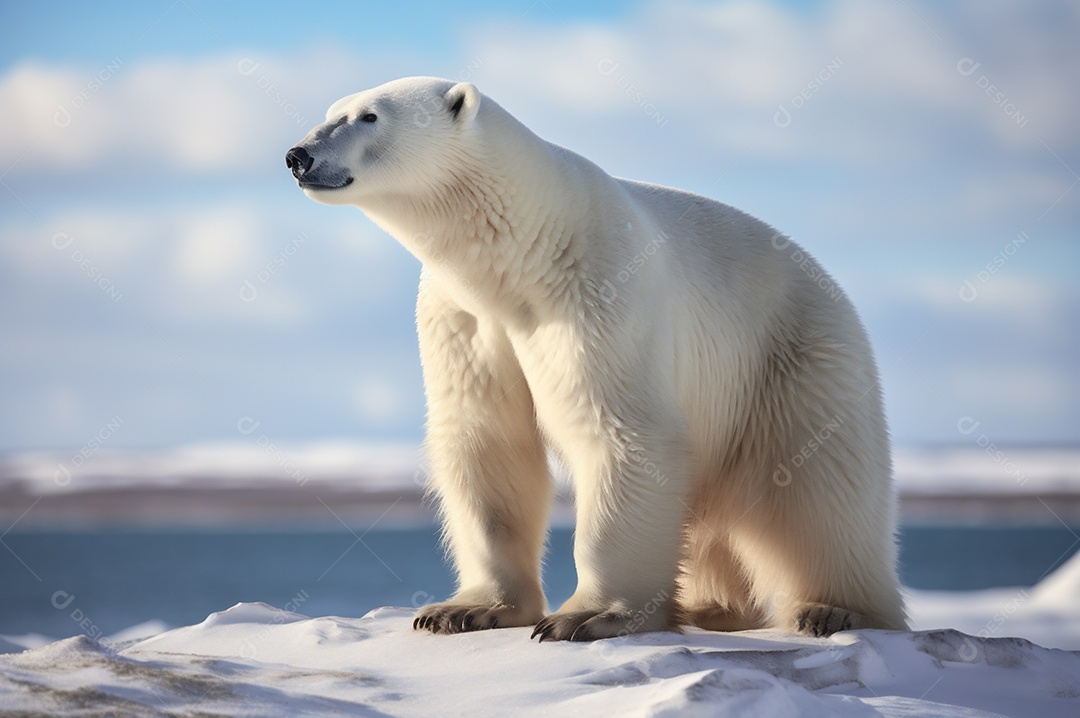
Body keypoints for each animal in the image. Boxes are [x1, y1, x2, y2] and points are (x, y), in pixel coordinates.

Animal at [289, 77, 911, 639]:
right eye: (330, 110)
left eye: (368, 116)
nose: (299, 156)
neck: (525, 249)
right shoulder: (463, 316)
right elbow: (487, 440)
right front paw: (464, 609)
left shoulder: (598, 289)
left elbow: (622, 431)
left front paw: (588, 616)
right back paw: (711, 606)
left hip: (795, 361)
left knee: (820, 489)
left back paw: (835, 608)